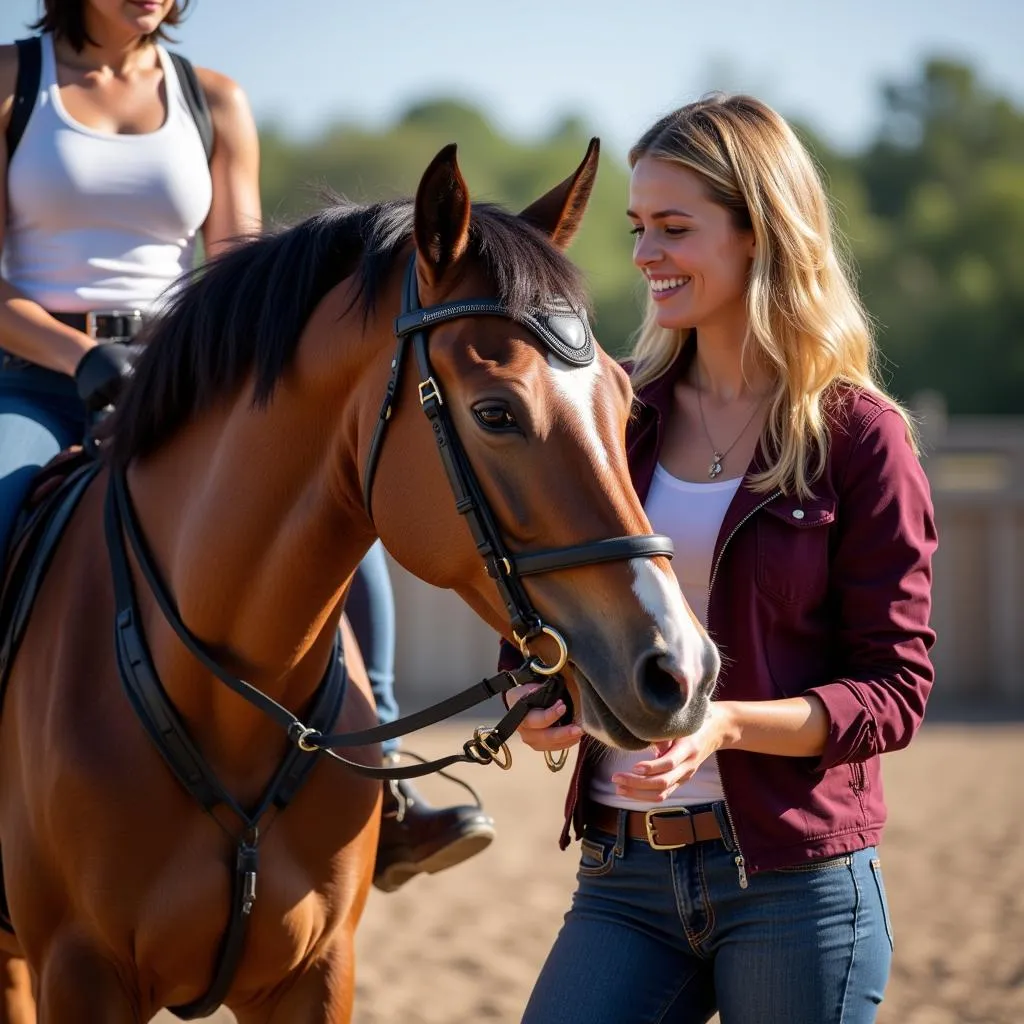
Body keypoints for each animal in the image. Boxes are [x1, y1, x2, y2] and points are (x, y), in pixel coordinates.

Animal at [0, 144, 716, 1024]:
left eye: (623, 403)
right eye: (496, 413)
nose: (683, 671)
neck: (217, 697)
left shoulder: (315, 972)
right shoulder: (81, 972)